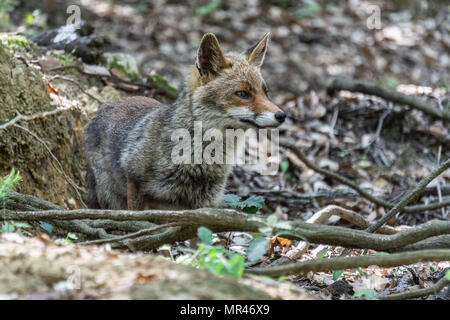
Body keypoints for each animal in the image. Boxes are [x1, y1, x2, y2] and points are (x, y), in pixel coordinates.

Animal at [83, 32, 286, 210]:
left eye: (266, 93)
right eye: (243, 94)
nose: (282, 115)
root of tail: (105, 105)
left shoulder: (202, 204)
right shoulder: (135, 183)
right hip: (110, 197)